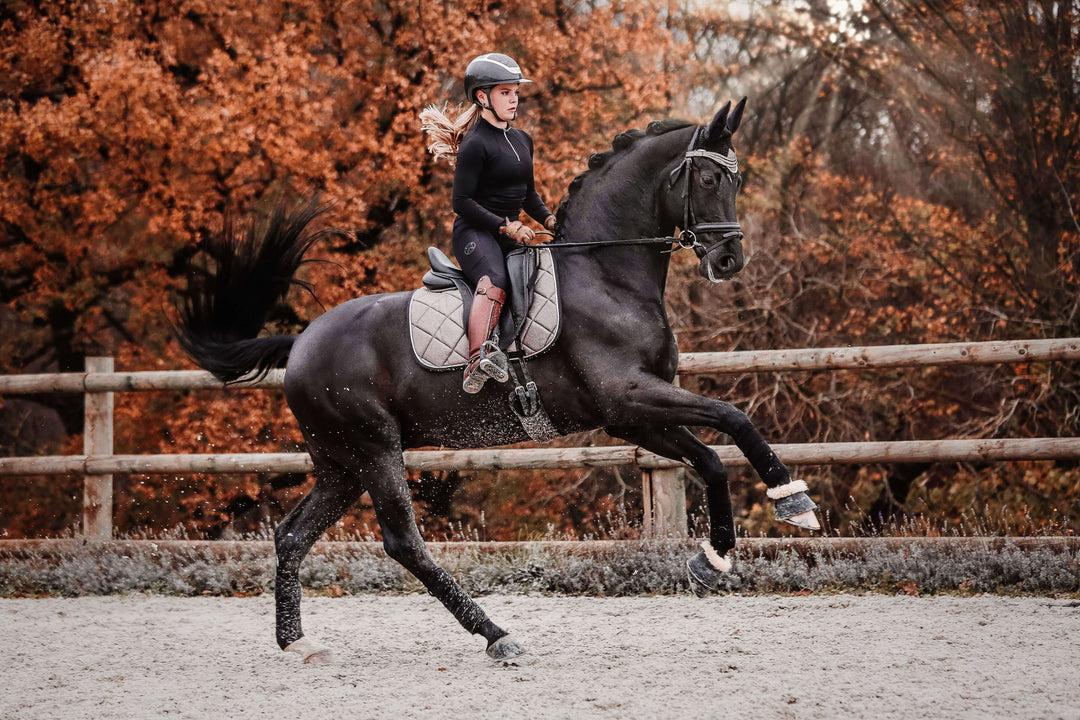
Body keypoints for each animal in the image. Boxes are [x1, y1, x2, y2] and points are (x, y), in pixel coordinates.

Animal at [177, 98, 816, 660]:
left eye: (733, 179)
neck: (606, 274)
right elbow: (734, 418)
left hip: (341, 465)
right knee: (403, 543)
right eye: (706, 179)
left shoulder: (628, 416)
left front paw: (715, 557)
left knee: (291, 535)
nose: (729, 260)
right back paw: (497, 635)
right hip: (374, 451)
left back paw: (297, 642)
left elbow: (709, 457)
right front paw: (794, 503)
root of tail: (303, 342)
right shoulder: (630, 397)